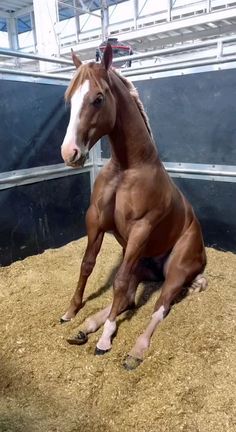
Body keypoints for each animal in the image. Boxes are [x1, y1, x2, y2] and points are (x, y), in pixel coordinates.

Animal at [60, 43, 206, 368]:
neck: (127, 168)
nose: (69, 152)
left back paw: (134, 351)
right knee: (129, 297)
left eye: (98, 98)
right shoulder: (96, 220)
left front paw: (105, 339)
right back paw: (85, 327)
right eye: (68, 98)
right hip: (142, 264)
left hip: (176, 269)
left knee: (159, 307)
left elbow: (119, 282)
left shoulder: (141, 229)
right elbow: (87, 266)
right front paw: (72, 312)